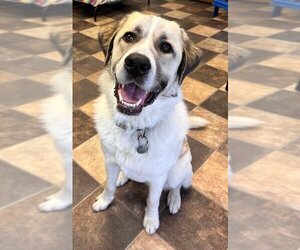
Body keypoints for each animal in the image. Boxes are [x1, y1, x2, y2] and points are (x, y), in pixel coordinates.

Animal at [91, 11, 209, 234]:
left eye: (166, 47)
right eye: (129, 37)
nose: (137, 64)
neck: (136, 127)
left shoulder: (158, 177)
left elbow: (152, 201)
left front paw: (151, 221)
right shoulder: (109, 162)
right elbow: (108, 185)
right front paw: (104, 201)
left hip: (179, 170)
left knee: (177, 186)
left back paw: (174, 200)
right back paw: (123, 177)